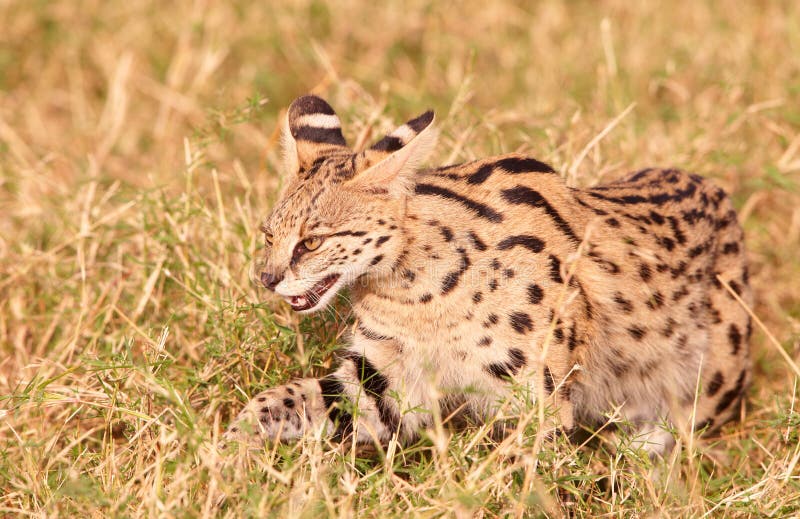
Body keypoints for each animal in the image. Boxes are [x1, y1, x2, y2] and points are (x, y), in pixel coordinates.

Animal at [223, 94, 752, 456]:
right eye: (269, 235)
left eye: (312, 241)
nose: (267, 279)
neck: (418, 293)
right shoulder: (386, 379)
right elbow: (287, 397)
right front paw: (230, 446)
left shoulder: (538, 396)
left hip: (715, 375)